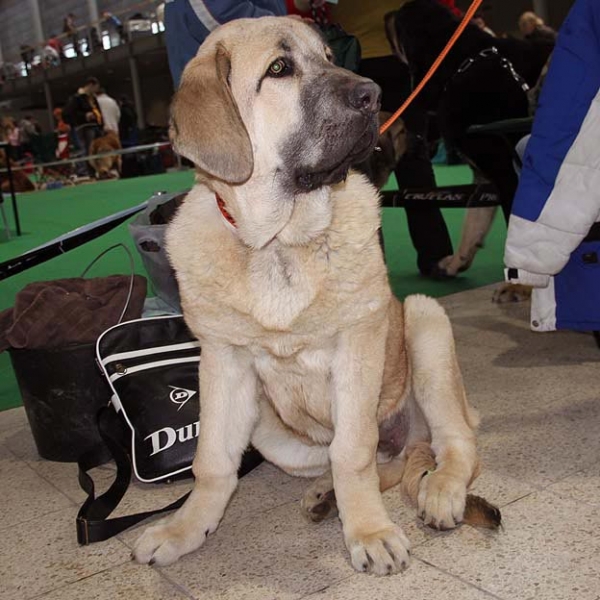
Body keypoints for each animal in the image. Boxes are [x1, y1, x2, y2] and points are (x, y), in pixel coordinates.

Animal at [134, 16, 486, 576]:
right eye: (279, 69)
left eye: (328, 56)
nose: (375, 94)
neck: (279, 243)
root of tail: (411, 440)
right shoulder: (222, 361)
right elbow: (212, 461)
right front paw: (185, 528)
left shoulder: (357, 345)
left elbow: (353, 452)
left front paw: (369, 530)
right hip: (269, 430)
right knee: (377, 461)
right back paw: (325, 496)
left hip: (425, 325)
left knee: (454, 442)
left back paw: (441, 492)